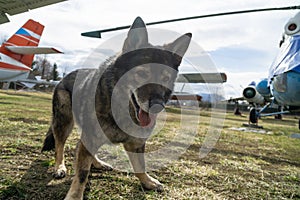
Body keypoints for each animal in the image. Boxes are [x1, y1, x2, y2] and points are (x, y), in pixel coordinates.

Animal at [42, 17, 191, 200]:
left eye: (165, 78)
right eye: (141, 74)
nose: (157, 106)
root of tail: (65, 76)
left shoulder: (135, 144)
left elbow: (140, 166)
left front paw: (147, 182)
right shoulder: (90, 138)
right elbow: (82, 173)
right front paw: (75, 196)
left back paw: (98, 163)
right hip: (63, 122)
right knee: (60, 146)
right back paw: (60, 167)